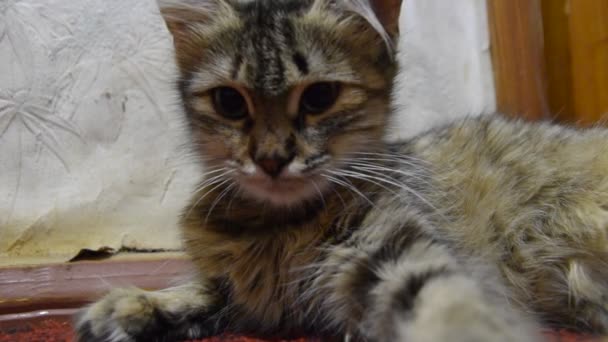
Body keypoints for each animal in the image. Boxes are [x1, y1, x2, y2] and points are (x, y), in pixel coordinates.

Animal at [75, 0, 608, 342]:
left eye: (319, 98)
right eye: (230, 102)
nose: (272, 159)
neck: (279, 230)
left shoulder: (392, 246)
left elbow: (441, 298)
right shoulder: (250, 293)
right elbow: (200, 289)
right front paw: (137, 306)